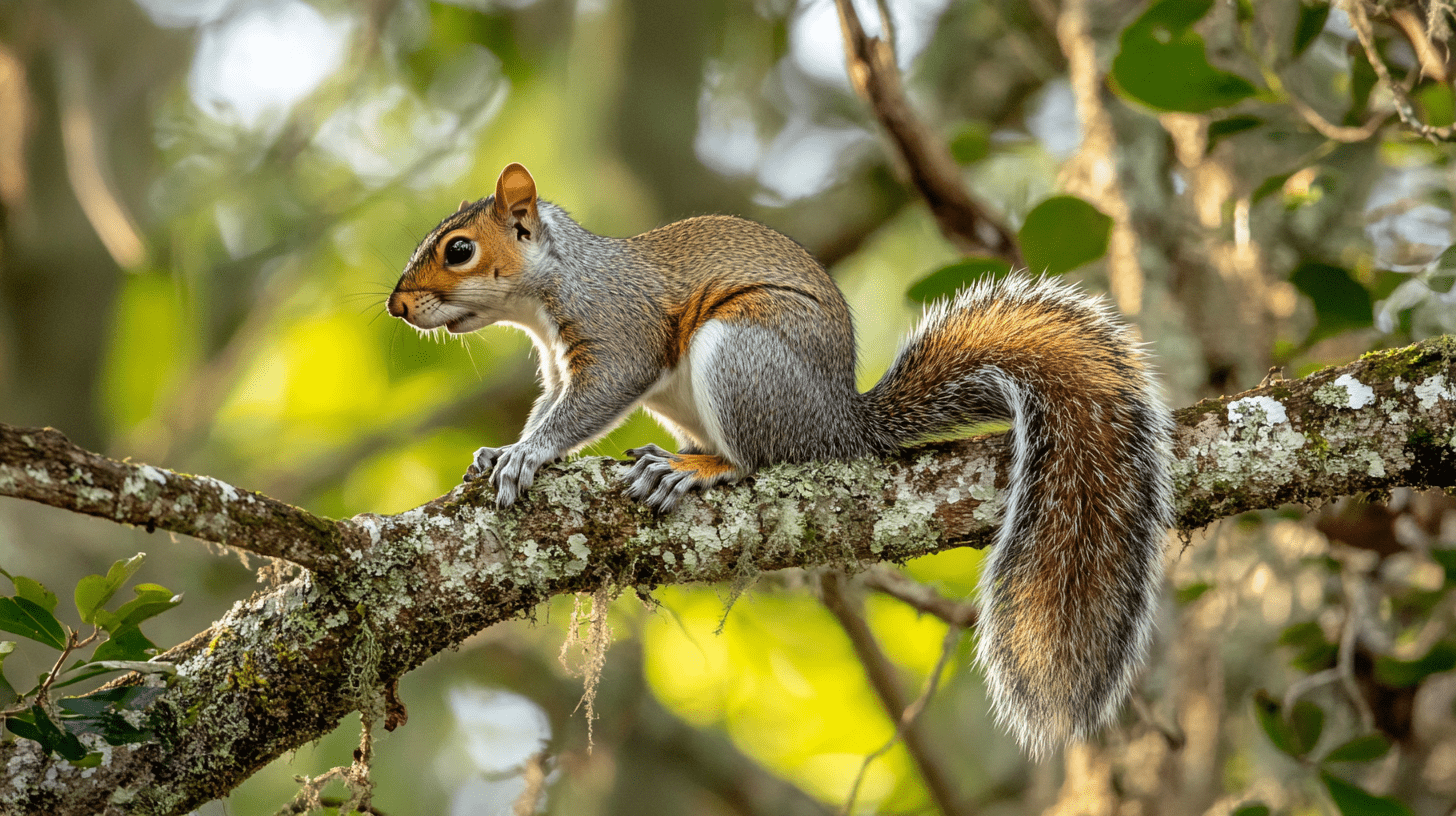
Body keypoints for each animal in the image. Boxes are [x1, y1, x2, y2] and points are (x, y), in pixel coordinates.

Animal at [393, 162, 1176, 757]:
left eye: (458, 250)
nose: (398, 306)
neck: (556, 285)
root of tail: (843, 425)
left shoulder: (618, 334)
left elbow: (589, 402)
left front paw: (527, 455)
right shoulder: (558, 369)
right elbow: (550, 406)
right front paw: (503, 448)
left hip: (740, 355)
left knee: (760, 459)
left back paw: (696, 468)